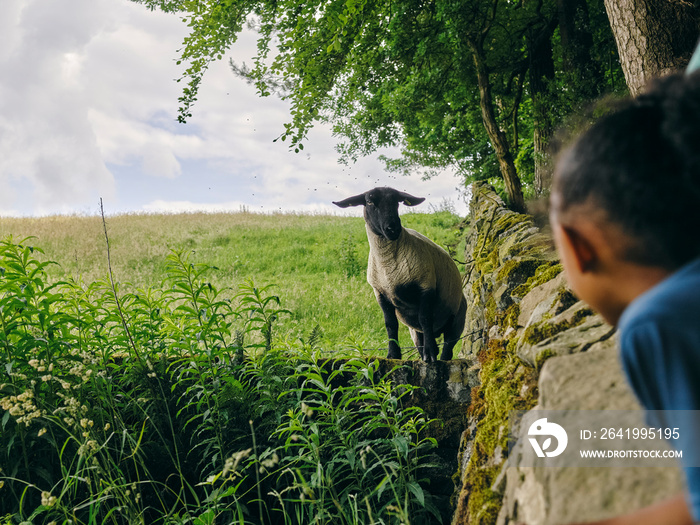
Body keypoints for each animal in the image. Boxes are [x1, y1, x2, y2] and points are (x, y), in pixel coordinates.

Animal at [332, 186, 464, 362]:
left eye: (397, 202)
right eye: (369, 201)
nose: (393, 228)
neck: (389, 266)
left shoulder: (426, 285)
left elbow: (425, 319)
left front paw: (430, 354)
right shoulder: (380, 293)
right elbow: (390, 324)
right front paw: (393, 354)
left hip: (456, 322)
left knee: (447, 347)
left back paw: (437, 356)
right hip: (415, 331)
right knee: (422, 339)